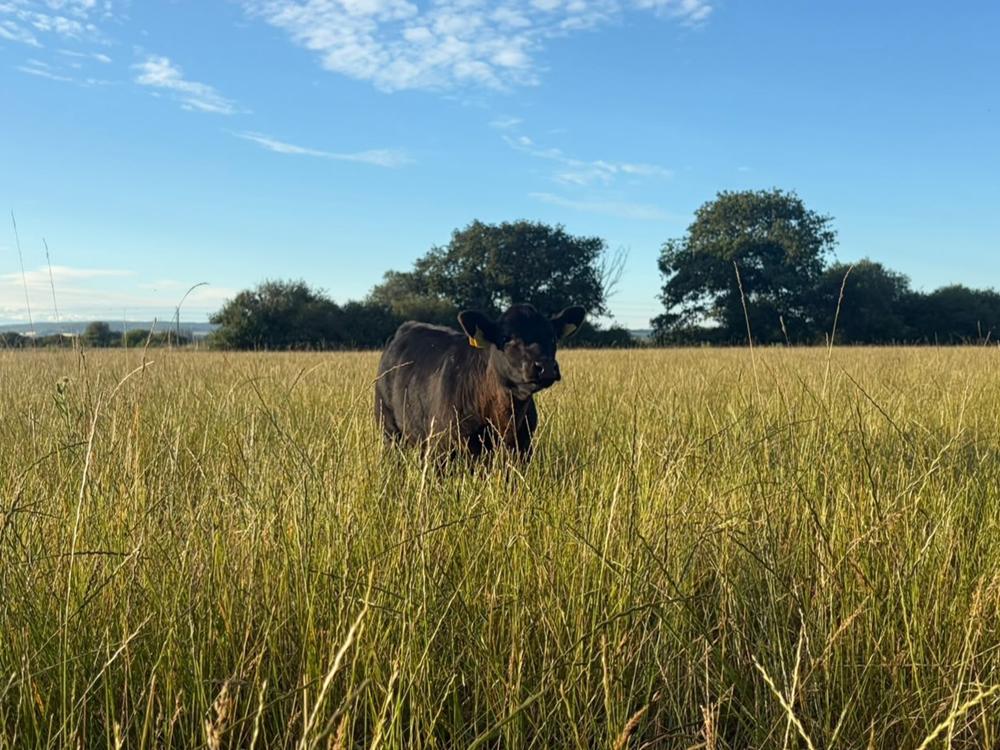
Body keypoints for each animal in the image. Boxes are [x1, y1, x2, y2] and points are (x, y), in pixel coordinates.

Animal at [375, 303, 586, 460]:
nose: (545, 366)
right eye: (506, 338)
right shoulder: (441, 447)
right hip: (389, 427)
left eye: (553, 337)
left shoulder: (523, 447)